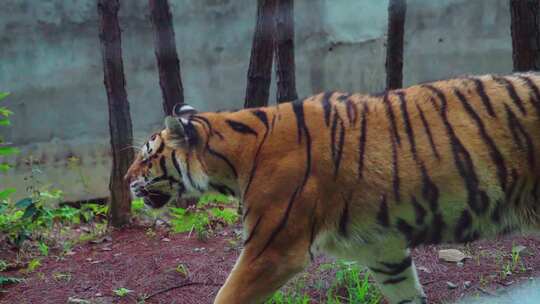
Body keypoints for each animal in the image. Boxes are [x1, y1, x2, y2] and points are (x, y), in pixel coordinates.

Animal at [124, 73, 540, 304]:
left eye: (146, 155)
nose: (127, 181)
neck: (233, 158)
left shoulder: (273, 249)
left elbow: (226, 295)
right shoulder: (384, 250)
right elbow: (407, 294)